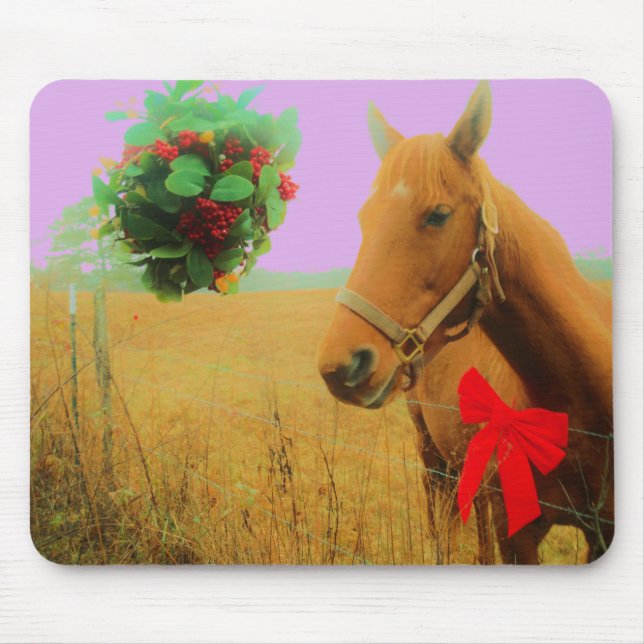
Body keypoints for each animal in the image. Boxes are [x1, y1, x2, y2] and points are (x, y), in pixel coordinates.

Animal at [317, 81, 613, 563]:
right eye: (364, 219)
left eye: (438, 214)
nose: (340, 366)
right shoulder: (517, 533)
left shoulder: (600, 533)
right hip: (432, 457)